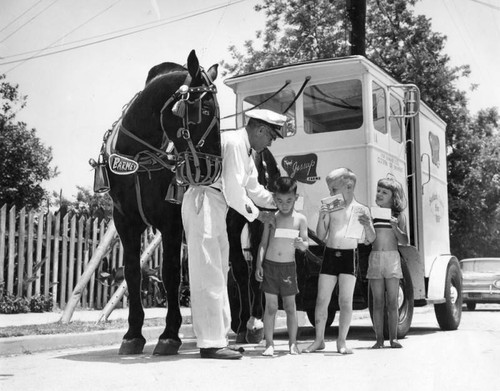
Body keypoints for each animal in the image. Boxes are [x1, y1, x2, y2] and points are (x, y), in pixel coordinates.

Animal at [95, 50, 221, 356]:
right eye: (205, 109)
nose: (212, 167)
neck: (139, 157)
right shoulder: (125, 221)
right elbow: (132, 273)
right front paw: (132, 335)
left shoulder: (171, 223)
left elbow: (171, 275)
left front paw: (169, 335)